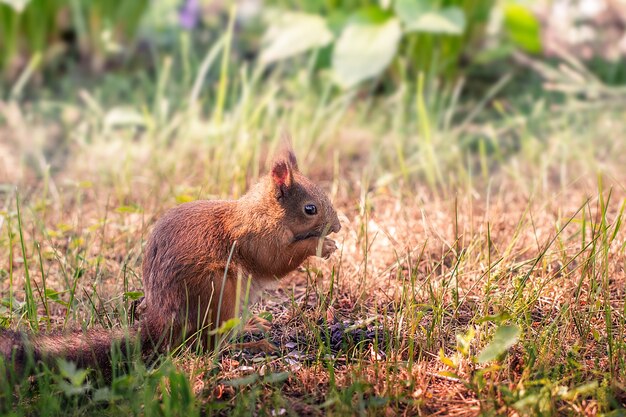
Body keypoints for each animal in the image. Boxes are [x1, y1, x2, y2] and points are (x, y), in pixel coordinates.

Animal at [1, 141, 342, 376]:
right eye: (310, 209)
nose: (337, 226)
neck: (264, 212)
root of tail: (161, 323)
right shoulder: (253, 237)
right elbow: (274, 260)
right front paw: (321, 246)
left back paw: (248, 327)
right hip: (217, 289)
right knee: (209, 344)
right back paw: (250, 344)